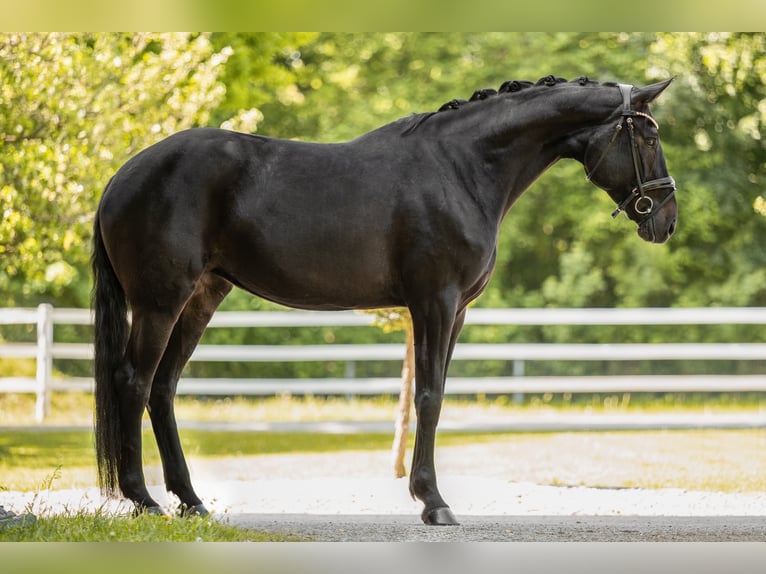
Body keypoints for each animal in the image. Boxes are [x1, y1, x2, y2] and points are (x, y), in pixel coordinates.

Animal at [91, 75, 680, 528]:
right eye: (649, 136)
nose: (666, 220)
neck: (462, 168)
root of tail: (122, 176)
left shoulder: (457, 311)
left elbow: (435, 395)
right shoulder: (434, 302)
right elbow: (429, 397)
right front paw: (433, 502)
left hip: (201, 296)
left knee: (163, 387)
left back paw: (190, 501)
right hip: (160, 301)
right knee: (134, 381)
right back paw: (143, 499)